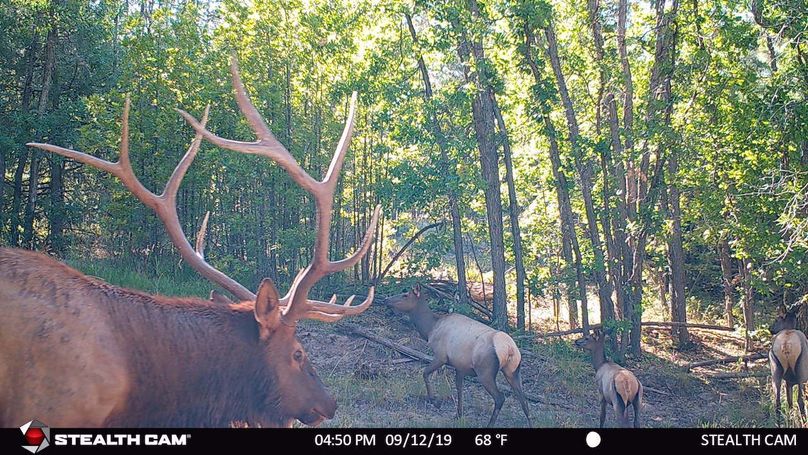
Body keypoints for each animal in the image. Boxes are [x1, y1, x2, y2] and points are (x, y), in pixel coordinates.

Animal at [384, 284, 531, 427]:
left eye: (405, 295)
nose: (387, 300)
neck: (430, 329)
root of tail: (509, 348)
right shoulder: (460, 366)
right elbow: (459, 388)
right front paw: (458, 414)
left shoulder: (441, 356)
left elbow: (425, 373)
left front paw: (436, 402)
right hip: (513, 371)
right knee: (523, 400)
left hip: (485, 372)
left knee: (500, 398)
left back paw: (490, 424)